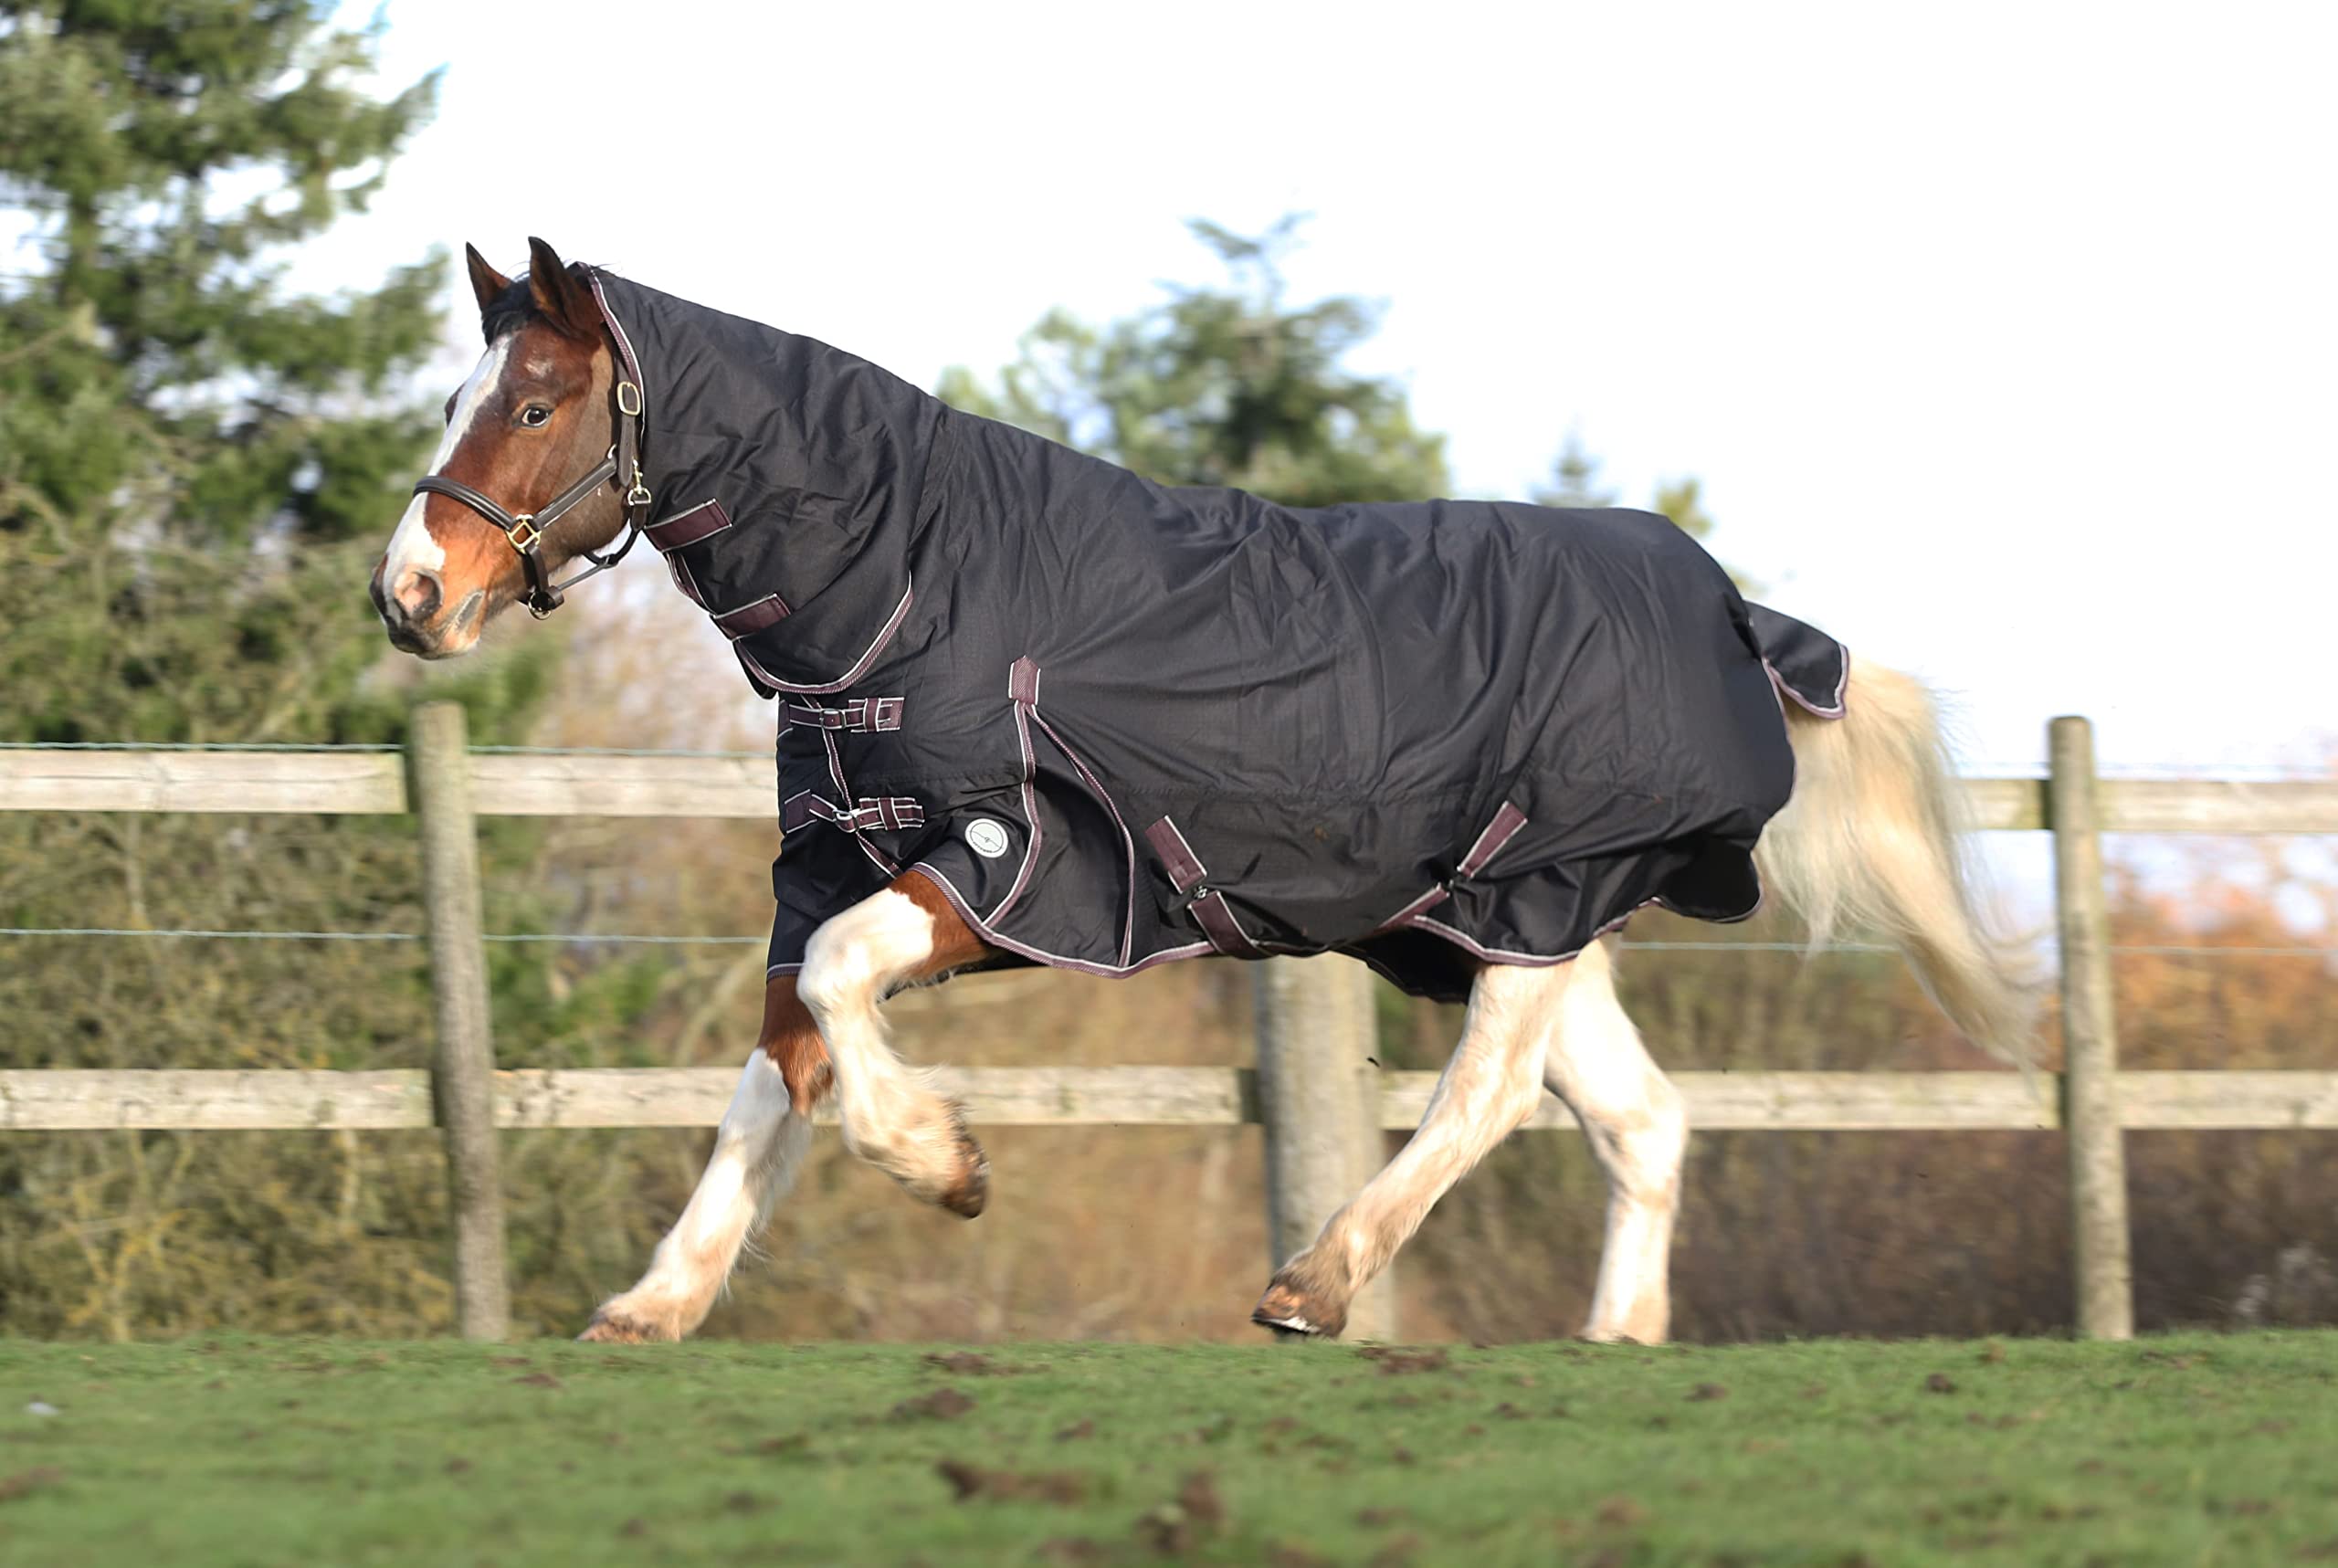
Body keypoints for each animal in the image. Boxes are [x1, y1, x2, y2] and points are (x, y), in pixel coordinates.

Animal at [371, 237, 2034, 1346]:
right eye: (461, 395)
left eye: (531, 408)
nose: (409, 596)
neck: (906, 584)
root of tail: (1739, 616)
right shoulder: (833, 860)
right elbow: (778, 1067)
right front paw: (655, 1302)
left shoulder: (1016, 867)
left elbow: (836, 1003)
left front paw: (950, 1170)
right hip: (1511, 927)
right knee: (1645, 1124)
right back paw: (1612, 1340)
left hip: (1537, 892)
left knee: (1490, 1098)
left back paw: (1315, 1283)